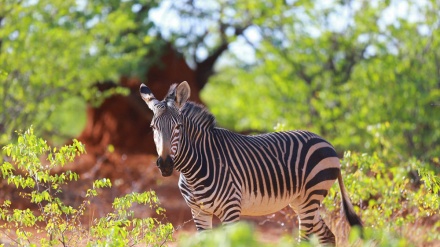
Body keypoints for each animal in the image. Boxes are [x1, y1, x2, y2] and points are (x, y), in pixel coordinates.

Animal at [139, 81, 362, 245]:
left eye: (178, 127)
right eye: (152, 127)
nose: (165, 164)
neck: (194, 170)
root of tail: (325, 141)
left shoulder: (231, 209)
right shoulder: (198, 211)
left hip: (312, 196)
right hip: (302, 201)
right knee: (328, 236)